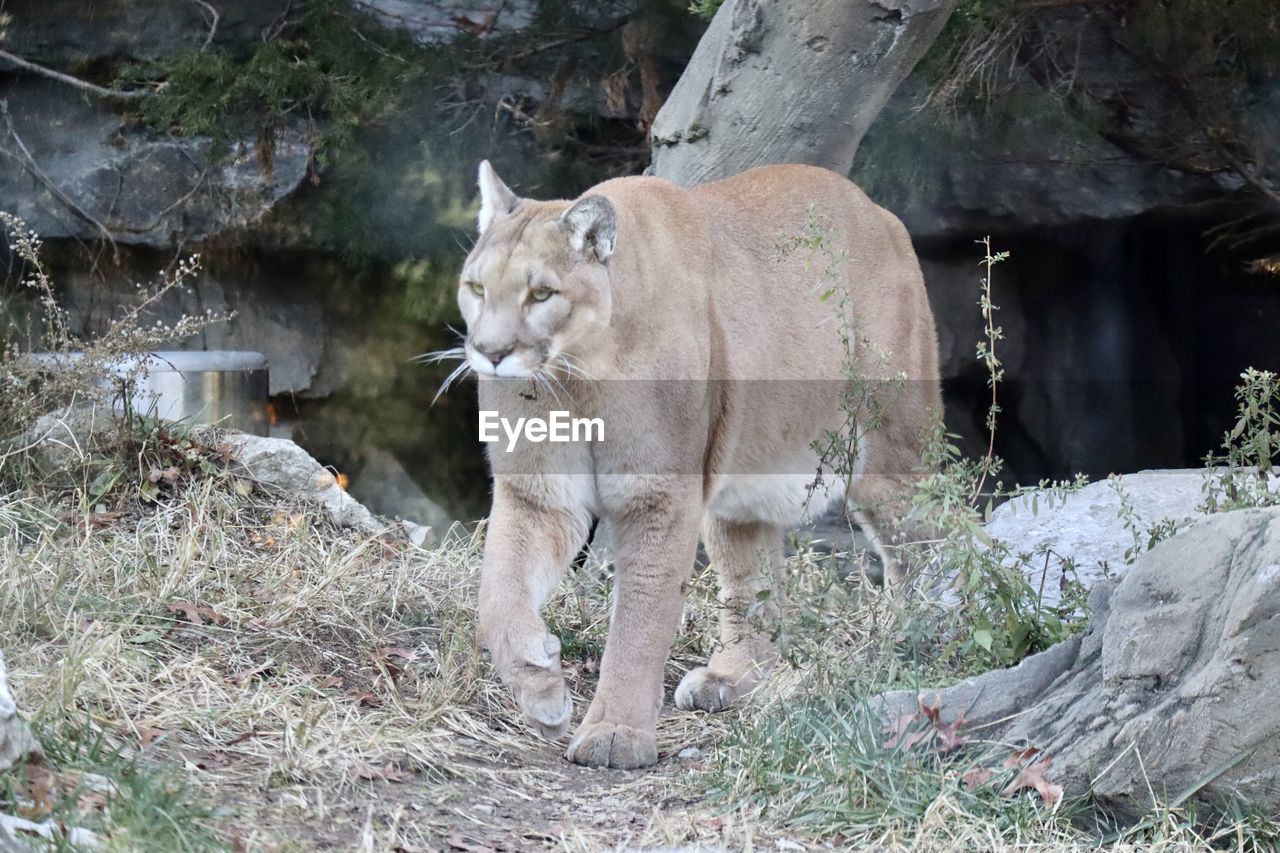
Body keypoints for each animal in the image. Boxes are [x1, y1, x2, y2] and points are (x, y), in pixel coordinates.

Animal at [450, 157, 942, 763]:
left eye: (542, 293)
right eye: (476, 287)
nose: (490, 353)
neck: (576, 378)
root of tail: (881, 213)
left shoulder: (657, 496)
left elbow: (642, 616)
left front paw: (616, 732)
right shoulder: (538, 495)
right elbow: (498, 594)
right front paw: (540, 688)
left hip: (889, 456)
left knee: (933, 540)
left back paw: (928, 633)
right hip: (744, 480)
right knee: (752, 577)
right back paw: (732, 676)